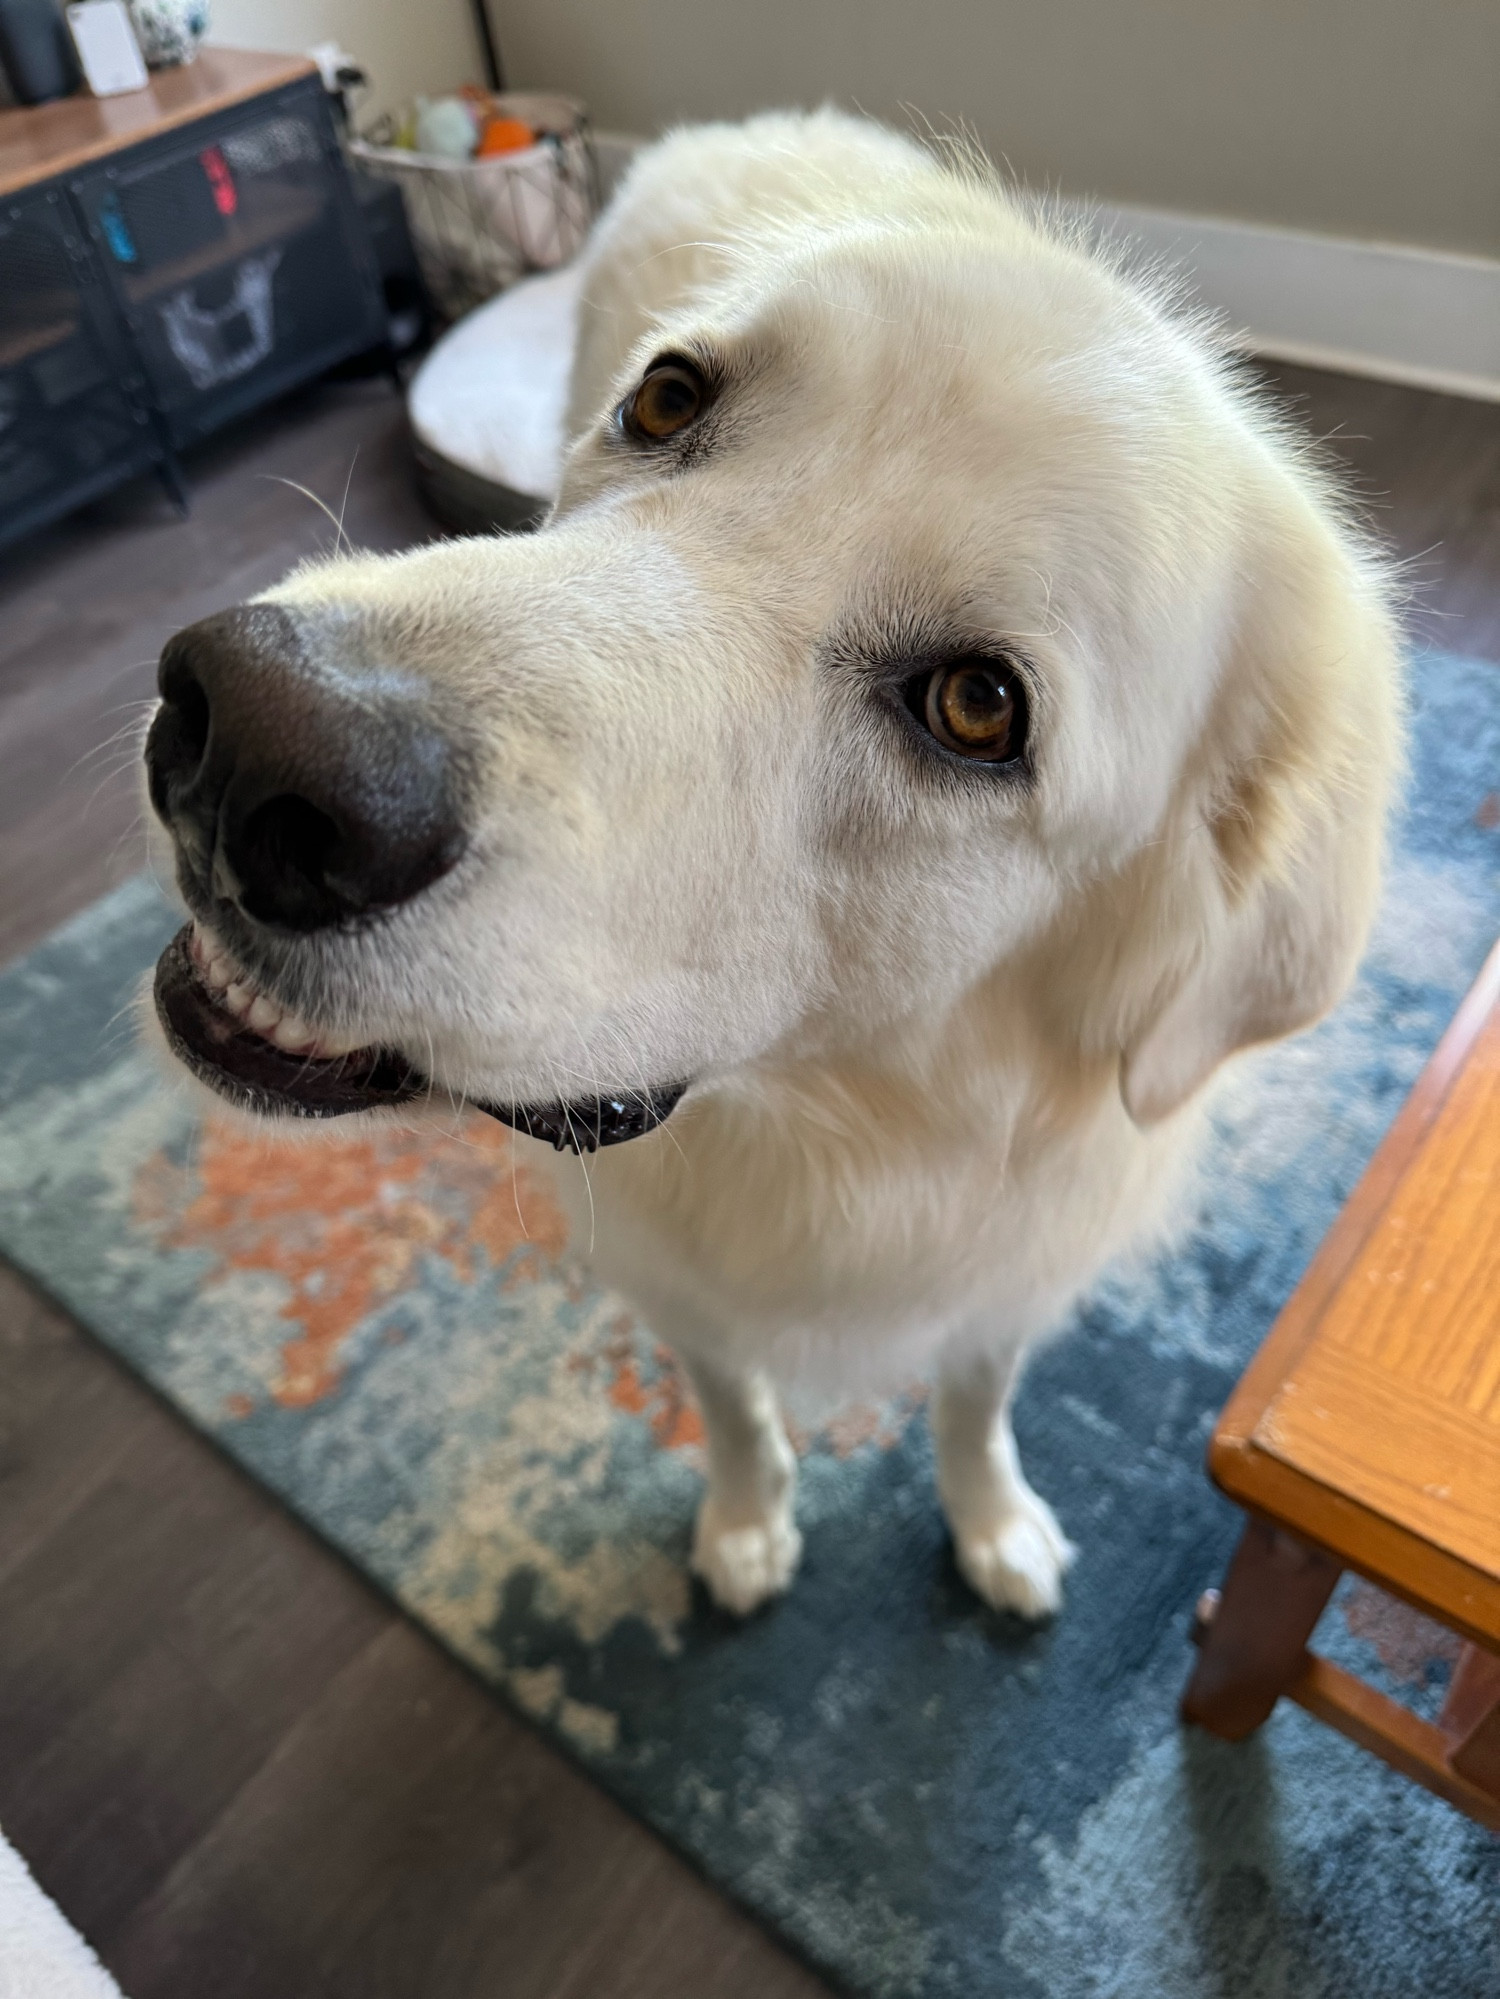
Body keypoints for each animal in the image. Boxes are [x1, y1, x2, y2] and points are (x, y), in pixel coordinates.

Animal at [147, 109, 1408, 1623]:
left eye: (977, 708)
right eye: (668, 400)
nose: (246, 741)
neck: (831, 1125)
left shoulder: (1007, 1274)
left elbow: (973, 1400)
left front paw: (994, 1525)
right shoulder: (679, 1283)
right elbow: (733, 1400)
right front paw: (748, 1526)